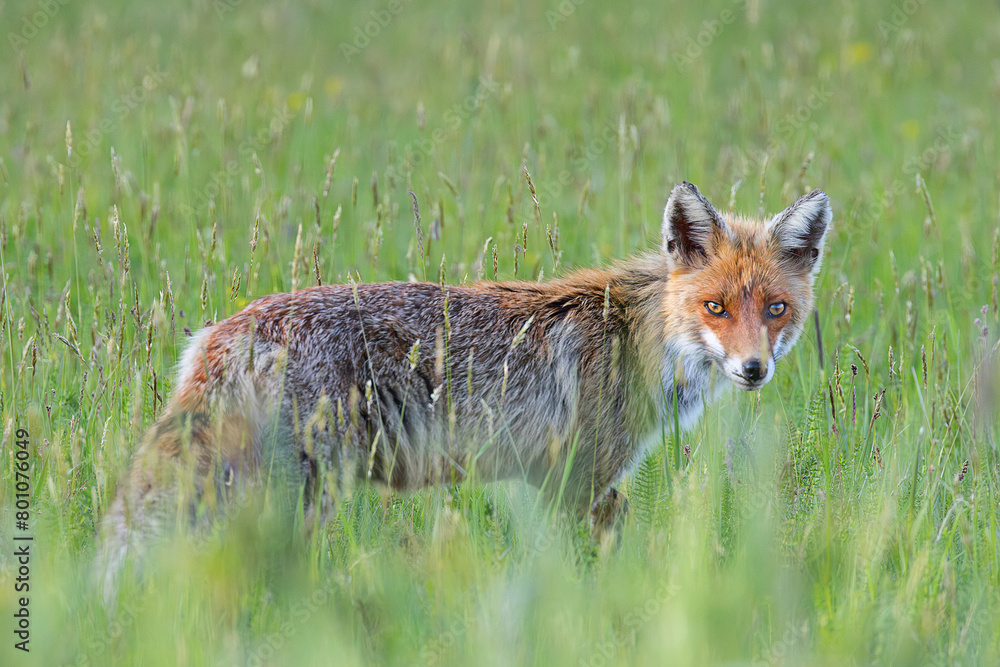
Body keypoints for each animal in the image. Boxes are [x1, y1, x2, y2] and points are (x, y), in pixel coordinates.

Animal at [99, 181, 831, 594]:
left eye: (775, 310)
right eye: (715, 308)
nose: (753, 369)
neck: (636, 335)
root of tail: (227, 331)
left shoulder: (552, 484)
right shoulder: (577, 480)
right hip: (295, 492)